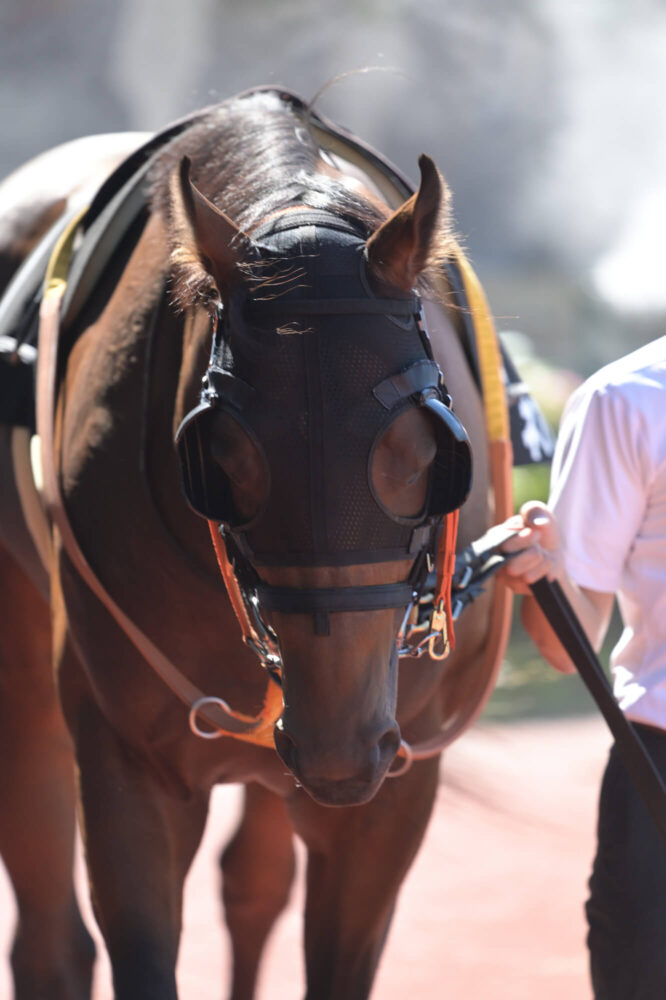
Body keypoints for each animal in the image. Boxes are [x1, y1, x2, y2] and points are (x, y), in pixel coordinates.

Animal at [0, 90, 508, 996]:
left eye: (426, 450)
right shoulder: (127, 759)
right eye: (223, 454)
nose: (341, 752)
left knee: (254, 884)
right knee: (52, 938)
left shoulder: (392, 783)